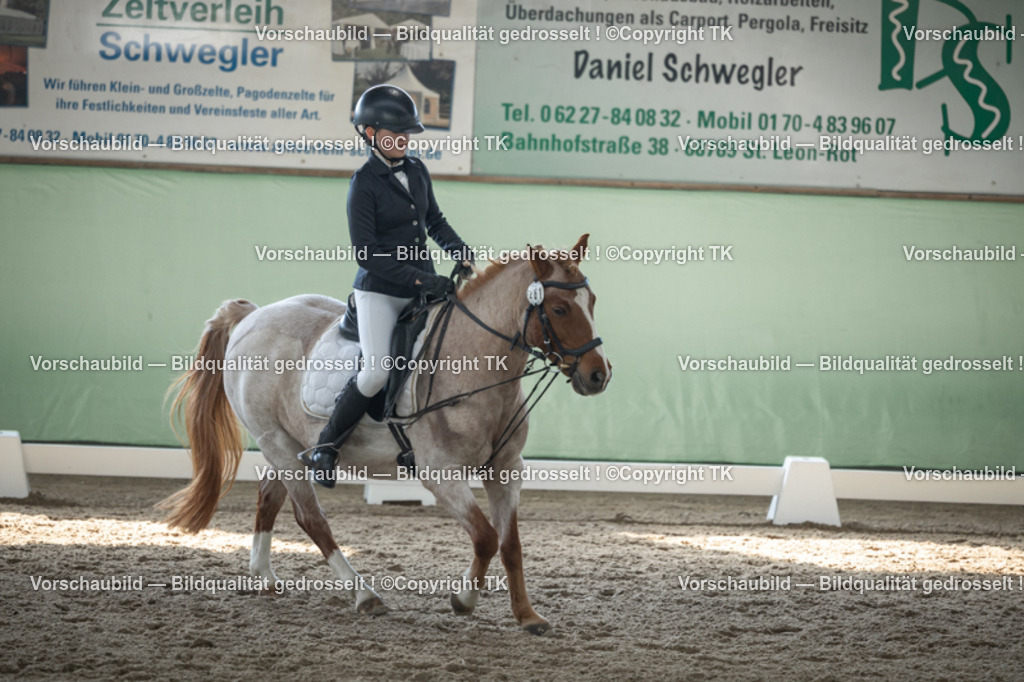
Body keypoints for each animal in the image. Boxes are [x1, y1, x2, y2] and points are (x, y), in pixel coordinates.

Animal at [159, 234, 611, 635]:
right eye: (558, 309)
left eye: (591, 302)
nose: (598, 375)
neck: (475, 365)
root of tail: (253, 316)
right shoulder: (441, 474)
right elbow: (485, 537)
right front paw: (462, 600)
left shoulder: (505, 471)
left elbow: (510, 544)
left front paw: (528, 616)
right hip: (275, 441)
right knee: (311, 518)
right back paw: (364, 595)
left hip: (290, 445)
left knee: (269, 497)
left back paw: (265, 577)